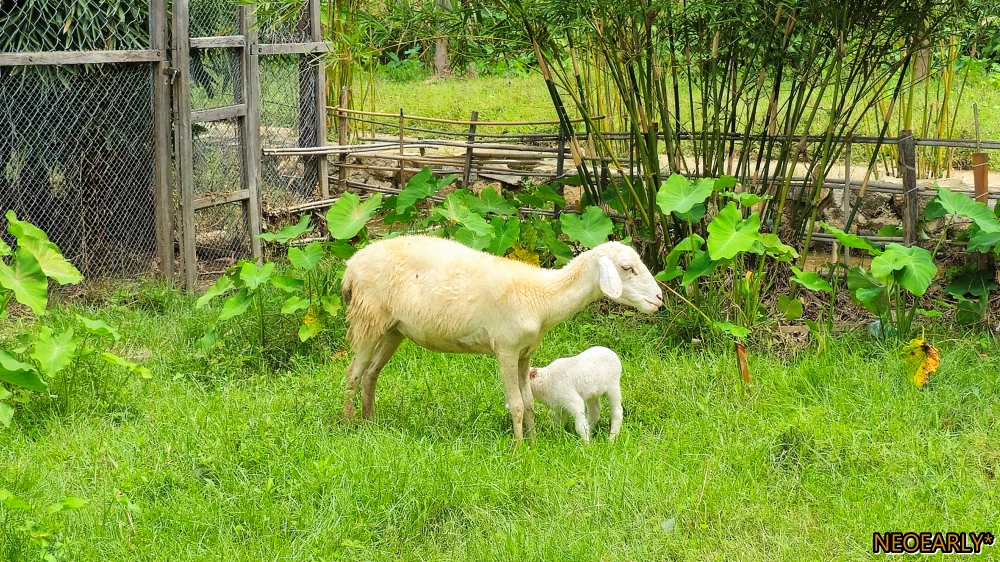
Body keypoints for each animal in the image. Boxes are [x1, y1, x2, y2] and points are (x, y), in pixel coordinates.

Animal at [340, 234, 662, 444]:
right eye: (627, 268)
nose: (659, 298)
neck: (543, 297)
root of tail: (351, 266)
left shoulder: (525, 352)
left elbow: (529, 403)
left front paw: (534, 442)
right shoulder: (506, 348)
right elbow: (516, 404)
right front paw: (518, 449)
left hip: (393, 328)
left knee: (371, 373)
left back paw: (370, 421)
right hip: (368, 317)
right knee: (353, 373)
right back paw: (349, 424)